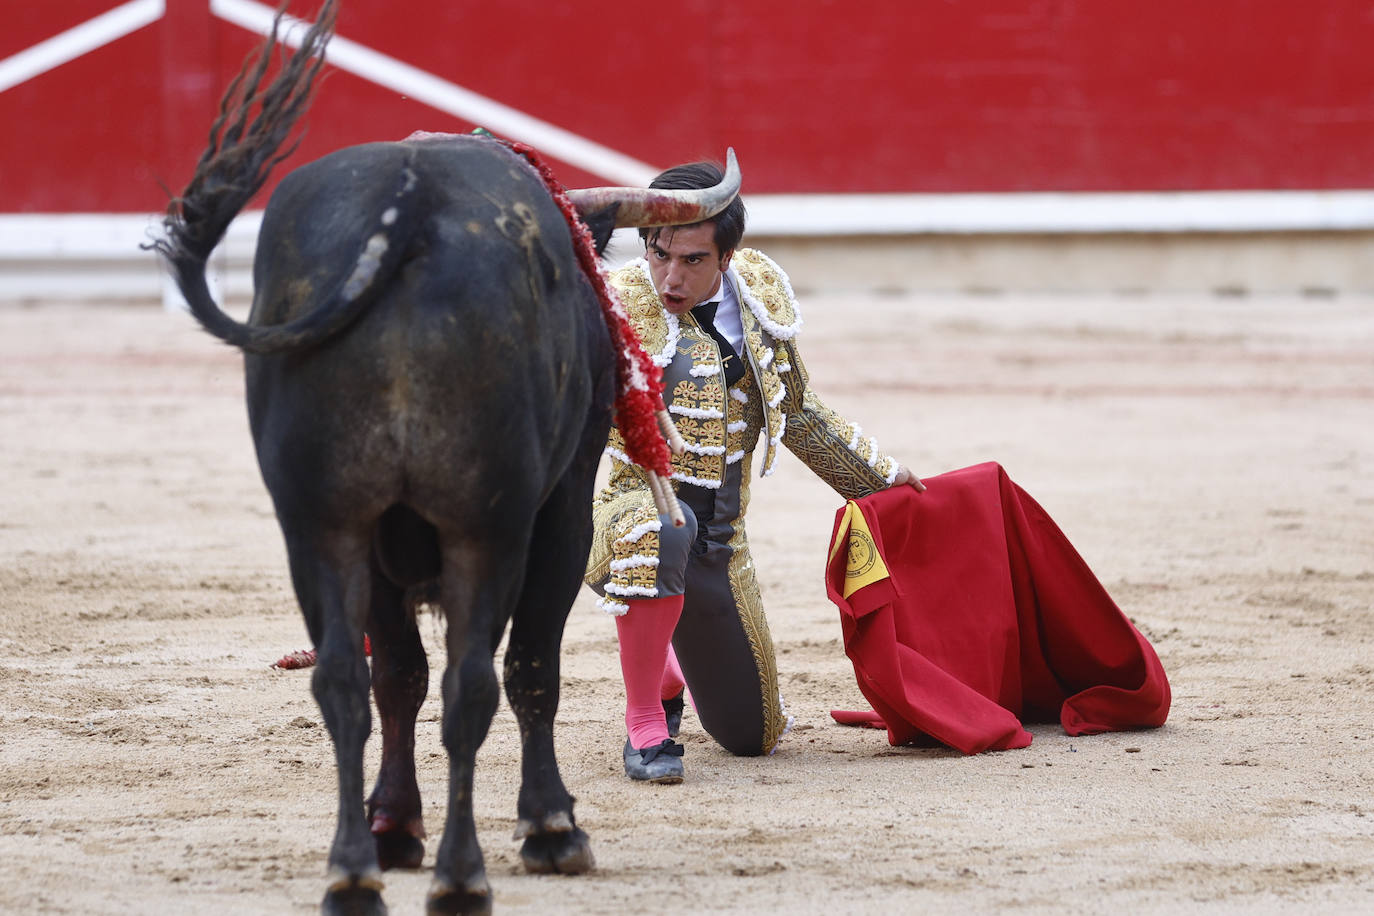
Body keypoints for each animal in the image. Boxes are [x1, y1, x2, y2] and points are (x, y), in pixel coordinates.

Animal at [150, 3, 741, 911]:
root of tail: (411, 201)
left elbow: (395, 675)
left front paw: (393, 824)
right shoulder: (557, 513)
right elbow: (528, 666)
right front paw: (548, 825)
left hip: (319, 526)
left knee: (345, 683)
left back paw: (354, 870)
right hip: (484, 527)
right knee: (476, 681)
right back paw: (466, 874)